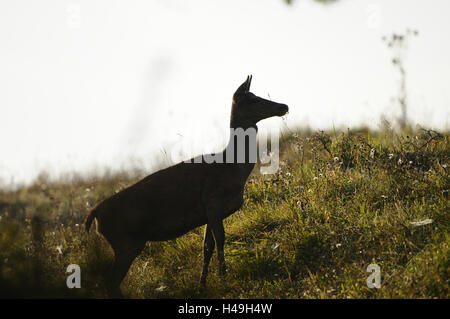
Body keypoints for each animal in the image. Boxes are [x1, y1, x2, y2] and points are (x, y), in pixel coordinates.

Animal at [84, 76, 288, 298]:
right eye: (252, 99)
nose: (284, 106)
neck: (233, 168)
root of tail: (95, 213)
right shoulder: (213, 202)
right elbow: (221, 239)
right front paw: (224, 276)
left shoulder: (208, 213)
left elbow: (207, 247)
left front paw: (203, 284)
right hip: (126, 242)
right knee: (110, 281)